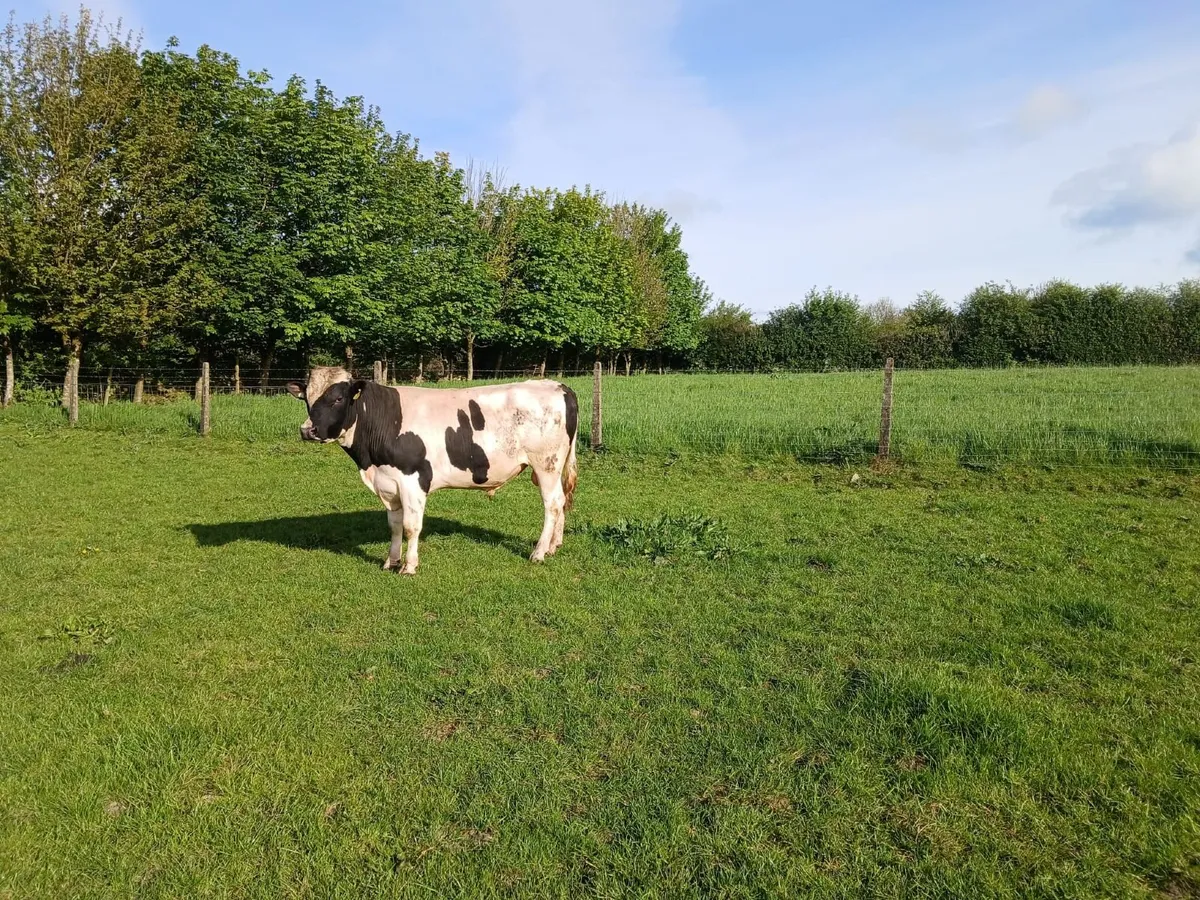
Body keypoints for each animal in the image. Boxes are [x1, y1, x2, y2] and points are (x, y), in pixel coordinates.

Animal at [287, 367, 578, 575]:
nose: (308, 430)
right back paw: (554, 546)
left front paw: (409, 567)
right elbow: (394, 526)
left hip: (547, 464)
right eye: (307, 399)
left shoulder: (413, 480)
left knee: (553, 504)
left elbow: (411, 526)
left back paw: (539, 552)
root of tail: (556, 385)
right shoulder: (388, 483)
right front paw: (391, 561)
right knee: (562, 501)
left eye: (338, 398)